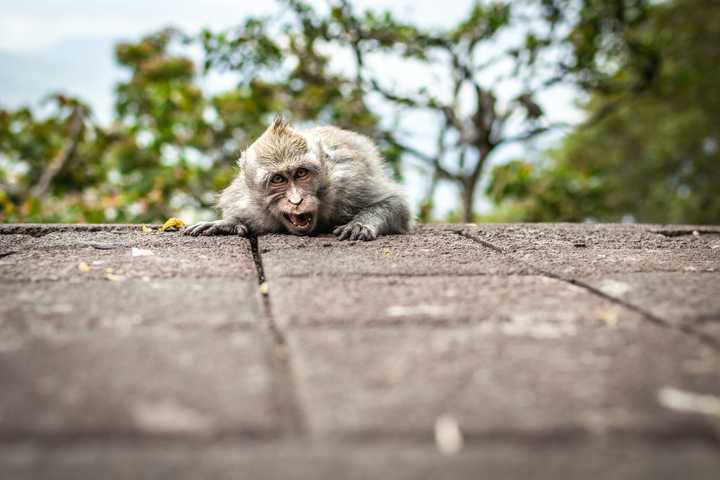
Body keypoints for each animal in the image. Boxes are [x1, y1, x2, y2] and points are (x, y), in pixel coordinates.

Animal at [183, 118, 414, 242]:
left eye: (301, 173)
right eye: (278, 179)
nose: (296, 200)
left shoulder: (350, 183)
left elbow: (396, 204)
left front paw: (360, 223)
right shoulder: (247, 204)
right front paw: (226, 224)